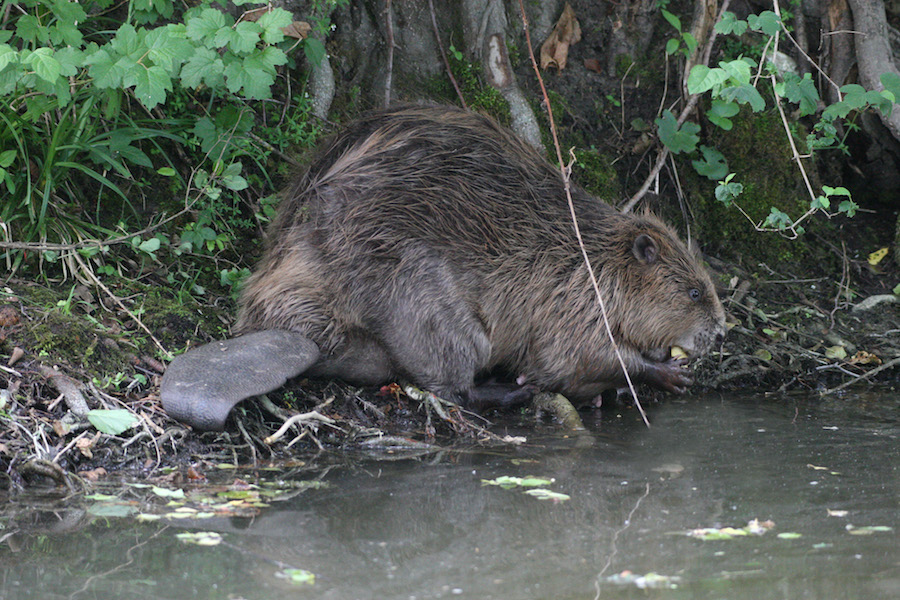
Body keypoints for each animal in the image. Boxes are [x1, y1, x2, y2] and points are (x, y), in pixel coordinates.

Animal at [160, 104, 724, 432]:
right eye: (695, 293)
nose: (721, 329)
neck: (589, 254)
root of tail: (287, 329)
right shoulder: (573, 299)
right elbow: (575, 359)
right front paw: (667, 373)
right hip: (421, 296)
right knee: (453, 386)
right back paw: (512, 390)